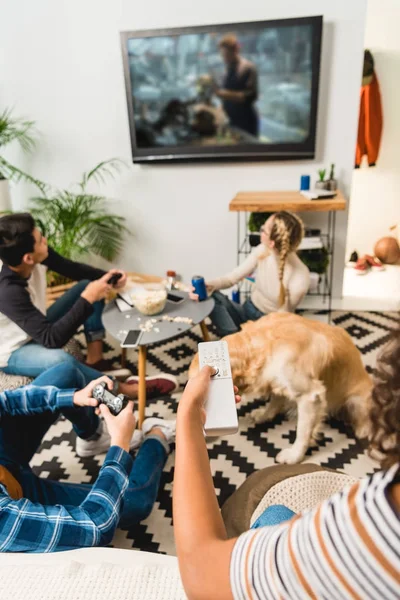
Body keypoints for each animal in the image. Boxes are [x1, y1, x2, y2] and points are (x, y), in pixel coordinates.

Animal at [190, 312, 372, 466]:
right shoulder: (276, 378)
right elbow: (274, 401)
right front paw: (264, 415)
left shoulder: (310, 395)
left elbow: (302, 432)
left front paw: (294, 456)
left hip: (357, 401)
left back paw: (364, 431)